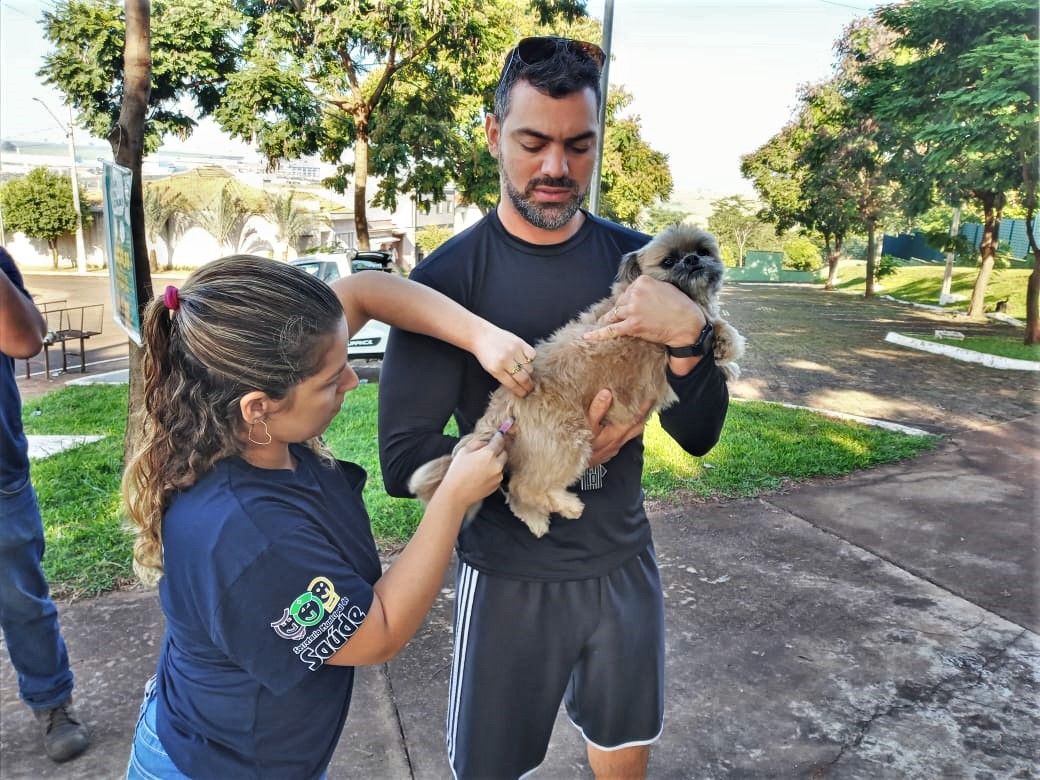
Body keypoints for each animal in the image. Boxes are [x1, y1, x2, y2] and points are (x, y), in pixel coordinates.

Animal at [409, 220, 744, 536]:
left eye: (702, 250)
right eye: (668, 261)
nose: (691, 260)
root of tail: (501, 408)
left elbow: (712, 324)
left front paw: (722, 351)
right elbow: (715, 324)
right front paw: (726, 348)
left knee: (517, 495)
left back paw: (537, 520)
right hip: (568, 441)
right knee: (522, 488)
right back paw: (566, 506)